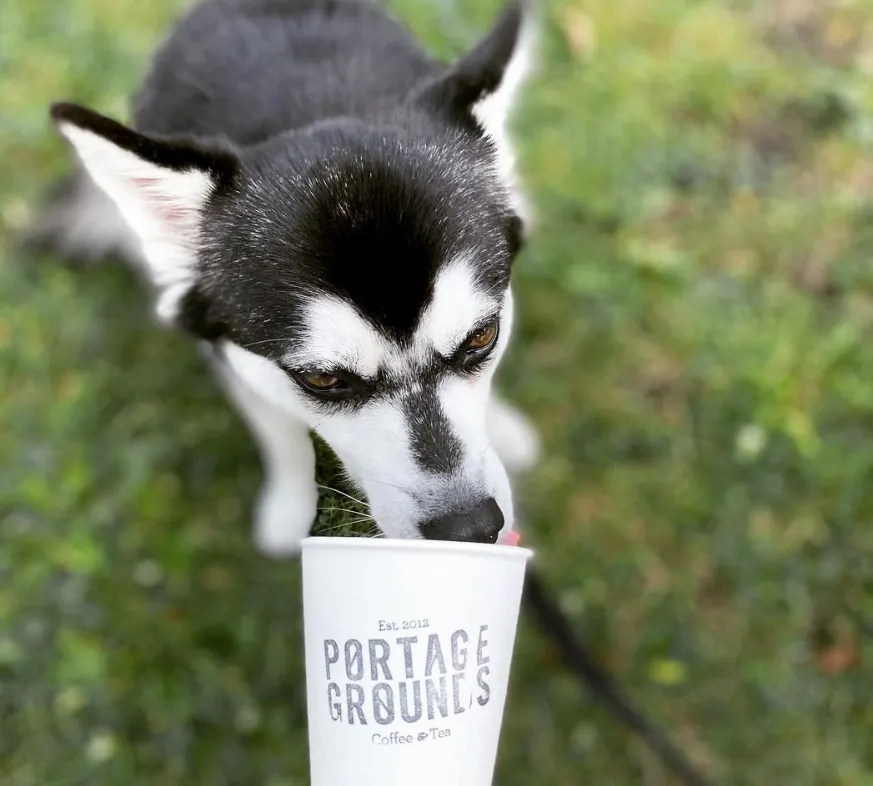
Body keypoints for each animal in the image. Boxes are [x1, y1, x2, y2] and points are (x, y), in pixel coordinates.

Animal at [32, 0, 540, 556]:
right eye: (322, 379)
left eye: (482, 336)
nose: (469, 530)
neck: (311, 111)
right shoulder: (233, 357)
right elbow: (283, 437)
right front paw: (290, 507)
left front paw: (501, 425)